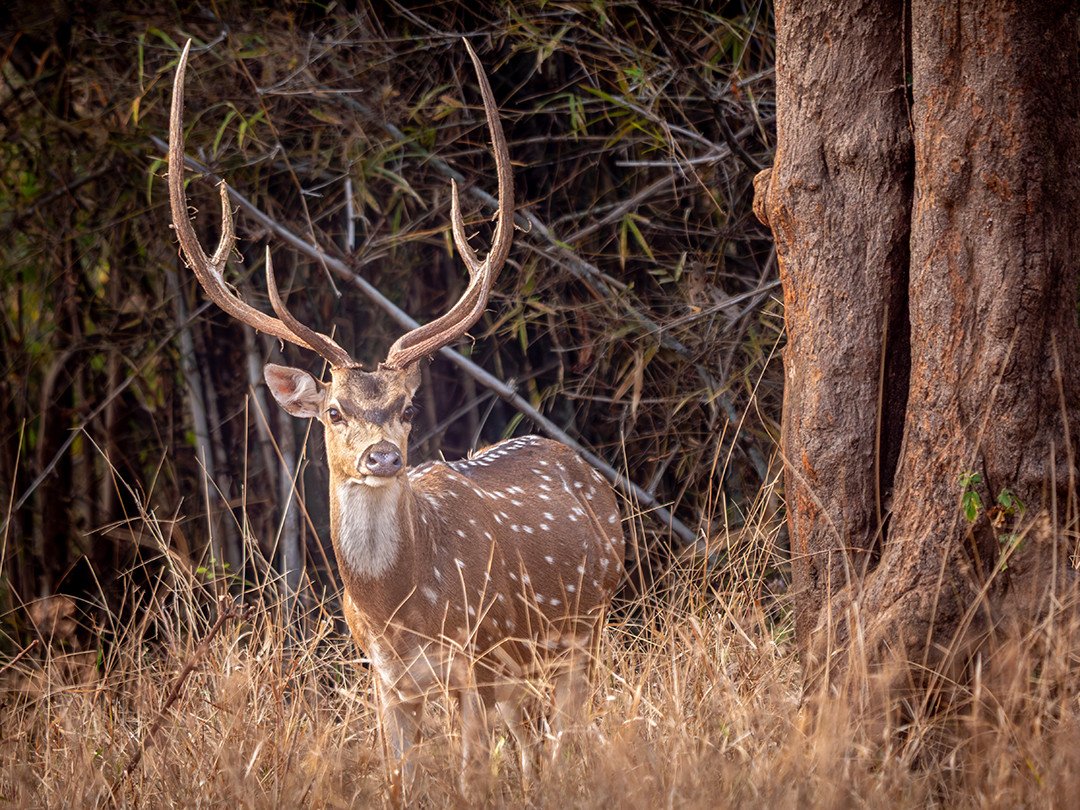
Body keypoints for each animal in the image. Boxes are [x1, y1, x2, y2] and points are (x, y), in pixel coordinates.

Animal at [167, 40, 625, 798]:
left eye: (406, 406)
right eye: (332, 409)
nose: (383, 457)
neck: (399, 611)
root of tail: (588, 473)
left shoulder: (471, 656)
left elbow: (470, 776)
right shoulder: (385, 680)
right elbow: (399, 780)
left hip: (585, 627)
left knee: (566, 739)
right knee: (534, 745)